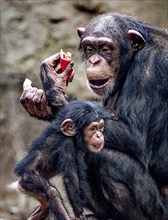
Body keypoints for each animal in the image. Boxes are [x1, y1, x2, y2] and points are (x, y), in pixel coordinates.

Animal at [19, 13, 167, 218]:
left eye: (105, 49)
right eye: (90, 48)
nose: (94, 61)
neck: (133, 58)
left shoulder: (150, 67)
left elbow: (136, 136)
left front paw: (53, 84)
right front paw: (38, 99)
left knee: (105, 159)